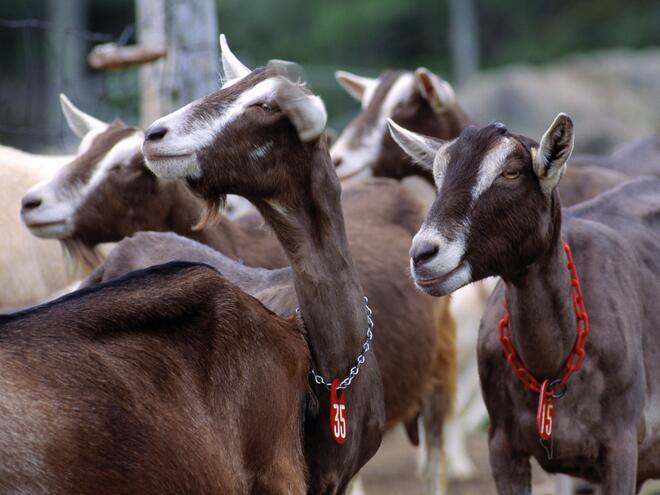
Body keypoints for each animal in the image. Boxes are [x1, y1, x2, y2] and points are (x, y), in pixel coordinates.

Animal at [390, 114, 660, 494]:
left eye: (511, 172)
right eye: (438, 176)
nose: (423, 254)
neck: (552, 367)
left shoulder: (622, 449)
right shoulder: (502, 445)